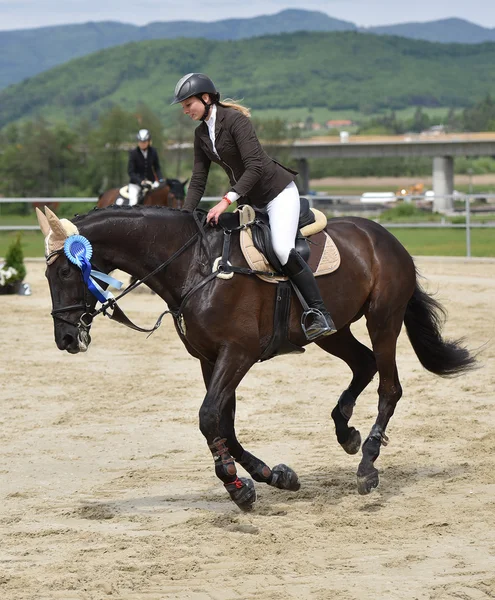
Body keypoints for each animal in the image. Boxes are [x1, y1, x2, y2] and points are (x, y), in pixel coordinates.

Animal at [35, 205, 476, 510]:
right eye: (47, 275)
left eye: (64, 273)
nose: (66, 338)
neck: (194, 265)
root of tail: (385, 236)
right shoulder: (209, 358)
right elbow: (223, 424)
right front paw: (273, 476)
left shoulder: (238, 353)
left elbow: (208, 417)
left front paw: (237, 487)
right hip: (333, 331)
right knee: (363, 364)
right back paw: (346, 432)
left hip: (383, 320)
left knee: (389, 387)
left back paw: (367, 463)